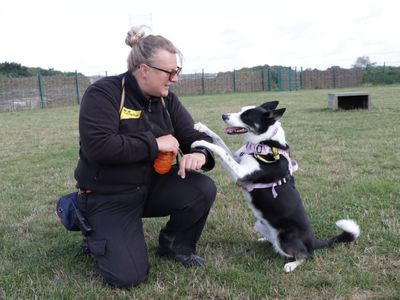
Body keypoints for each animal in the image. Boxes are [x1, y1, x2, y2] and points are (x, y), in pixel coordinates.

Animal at [191, 100, 360, 272]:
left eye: (246, 116)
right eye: (240, 110)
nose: (224, 116)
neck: (265, 142)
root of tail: (313, 240)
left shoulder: (241, 175)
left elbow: (221, 151)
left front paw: (202, 142)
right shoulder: (238, 160)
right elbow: (220, 141)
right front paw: (203, 128)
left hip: (284, 238)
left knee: (306, 255)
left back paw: (292, 264)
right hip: (259, 224)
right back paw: (265, 240)